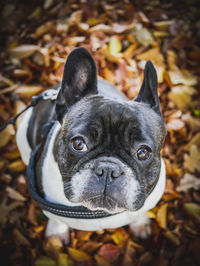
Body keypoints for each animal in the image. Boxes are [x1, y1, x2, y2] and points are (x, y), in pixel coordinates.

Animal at [16, 47, 166, 243]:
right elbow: (56, 220)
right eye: (79, 144)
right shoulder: (50, 210)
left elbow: (140, 213)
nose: (108, 170)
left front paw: (140, 225)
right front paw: (56, 235)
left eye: (143, 153)